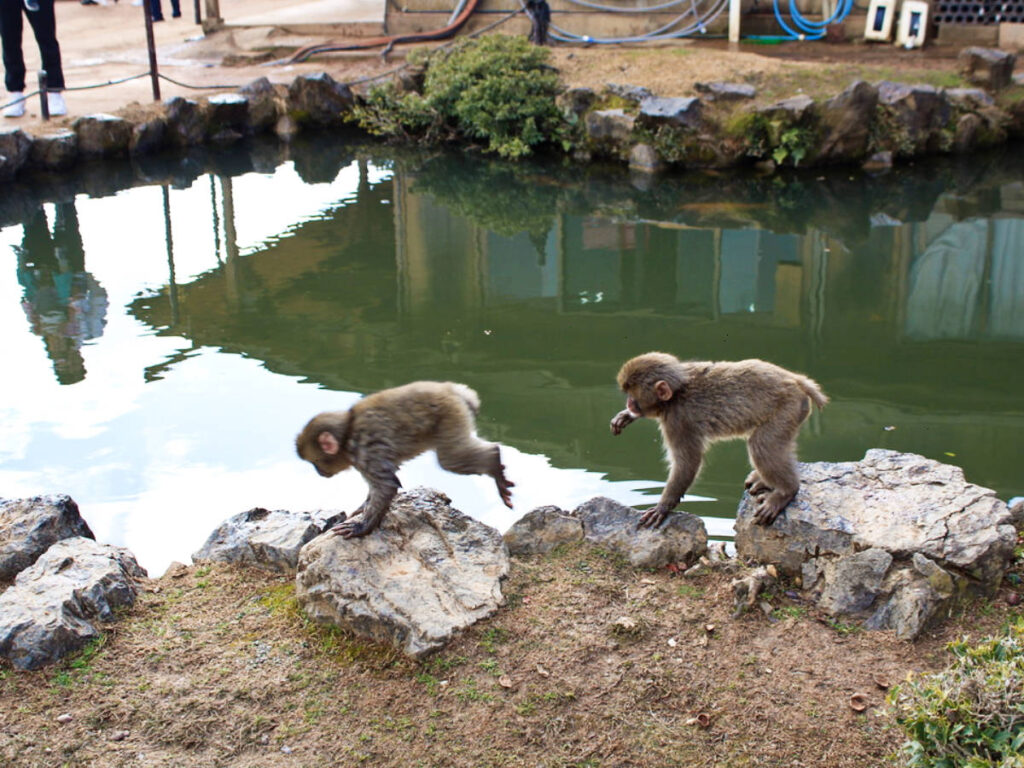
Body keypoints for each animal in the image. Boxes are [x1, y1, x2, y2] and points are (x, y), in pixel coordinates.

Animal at [296, 381, 514, 539]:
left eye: (315, 463)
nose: (319, 472)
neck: (348, 432)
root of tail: (454, 391)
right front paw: (361, 508)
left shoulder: (366, 452)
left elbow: (386, 486)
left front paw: (362, 527)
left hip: (450, 415)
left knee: (451, 459)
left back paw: (494, 459)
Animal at [610, 353, 827, 528]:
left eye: (633, 396)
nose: (629, 404)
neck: (676, 394)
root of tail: (794, 379)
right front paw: (626, 416)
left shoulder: (678, 421)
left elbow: (687, 463)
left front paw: (662, 507)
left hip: (786, 409)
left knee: (762, 445)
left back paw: (786, 491)